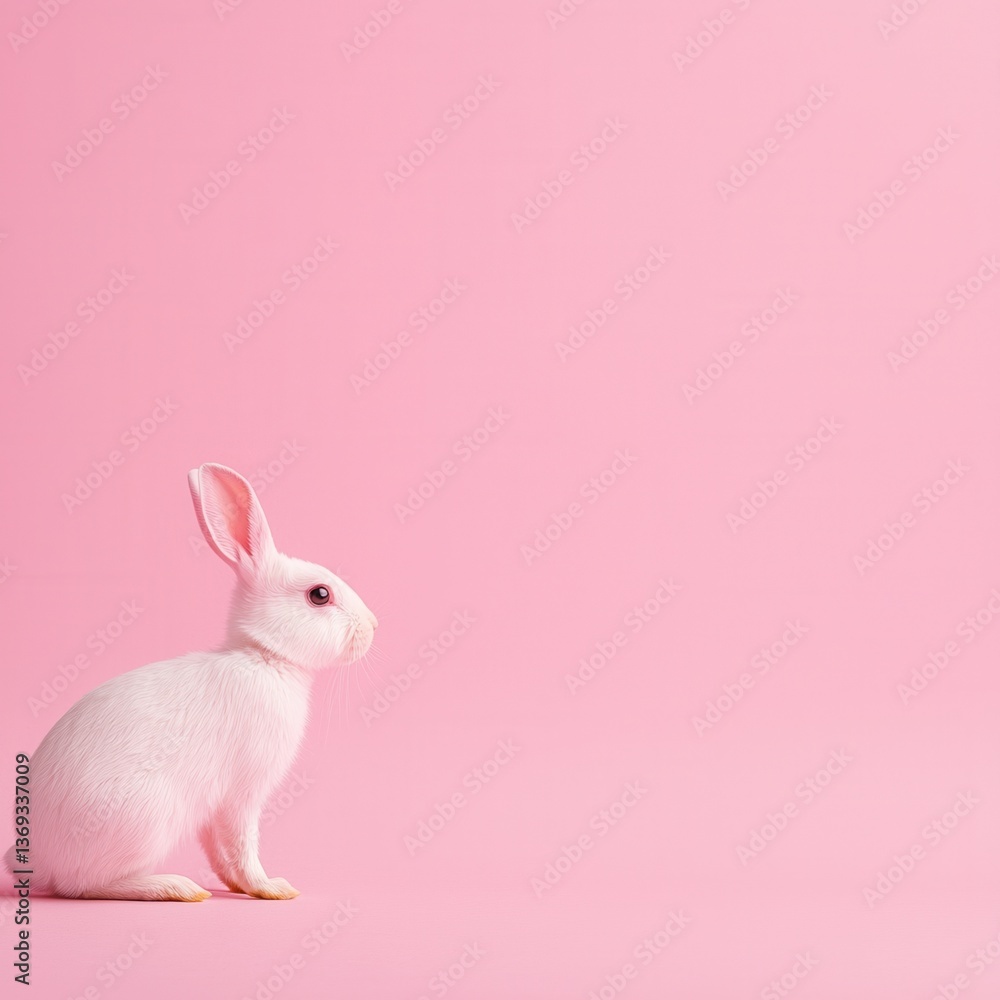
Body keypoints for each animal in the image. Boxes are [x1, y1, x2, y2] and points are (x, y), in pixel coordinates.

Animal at [3, 463, 377, 901]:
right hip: (146, 818)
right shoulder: (242, 794)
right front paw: (272, 888)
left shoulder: (214, 810)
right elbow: (243, 843)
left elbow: (218, 850)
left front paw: (237, 885)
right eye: (320, 594)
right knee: (83, 885)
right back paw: (176, 888)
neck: (263, 655)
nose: (373, 625)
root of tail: (38, 858)